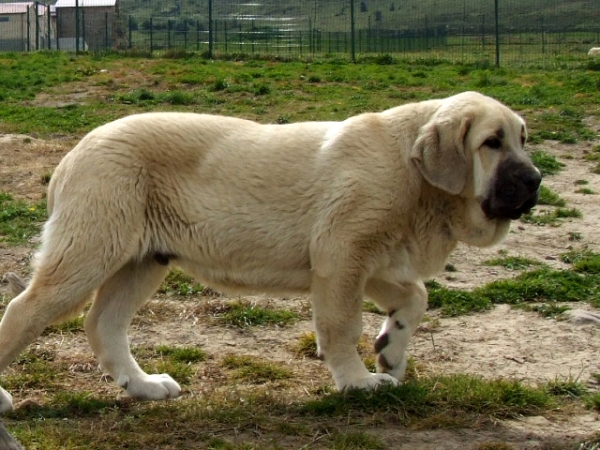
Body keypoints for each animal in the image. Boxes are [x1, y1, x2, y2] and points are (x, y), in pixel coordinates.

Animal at [0, 91, 544, 412]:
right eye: (491, 143)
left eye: (522, 139)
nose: (536, 181)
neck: (412, 171)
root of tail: (75, 152)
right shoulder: (342, 257)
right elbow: (342, 326)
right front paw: (358, 383)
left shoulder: (368, 260)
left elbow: (416, 296)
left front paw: (391, 351)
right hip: (89, 250)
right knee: (24, 311)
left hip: (142, 260)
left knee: (102, 323)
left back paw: (143, 385)